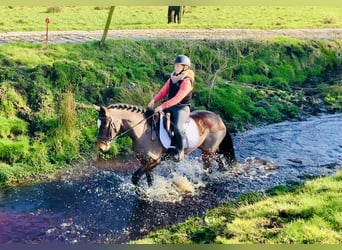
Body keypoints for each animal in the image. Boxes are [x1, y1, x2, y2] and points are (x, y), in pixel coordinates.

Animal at [95, 102, 236, 187]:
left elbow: (135, 177)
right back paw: (224, 171)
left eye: (106, 124)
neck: (143, 132)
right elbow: (149, 180)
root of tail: (218, 117)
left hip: (208, 152)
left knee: (208, 169)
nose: (101, 147)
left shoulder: (155, 161)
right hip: (210, 150)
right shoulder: (144, 161)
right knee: (220, 159)